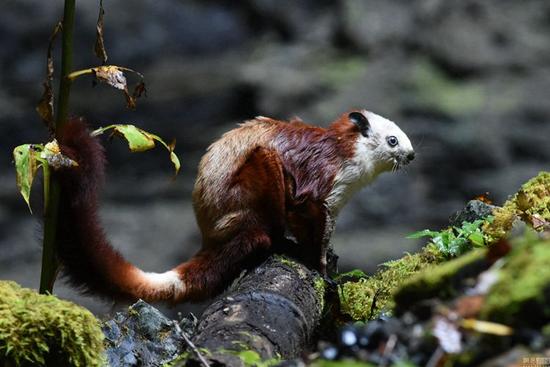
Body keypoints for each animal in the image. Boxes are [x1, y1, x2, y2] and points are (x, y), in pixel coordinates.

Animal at [55, 110, 414, 304]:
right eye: (393, 140)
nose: (411, 156)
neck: (350, 154)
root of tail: (212, 238)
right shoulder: (320, 182)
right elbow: (308, 220)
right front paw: (322, 271)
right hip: (250, 193)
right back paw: (274, 242)